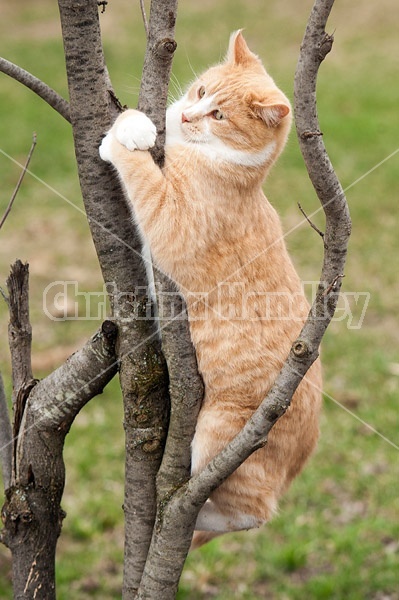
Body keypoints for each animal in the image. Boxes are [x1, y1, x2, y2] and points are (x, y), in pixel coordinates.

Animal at [100, 31, 322, 548]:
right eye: (201, 92)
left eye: (219, 116)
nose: (187, 116)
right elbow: (142, 120)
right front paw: (134, 124)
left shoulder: (170, 221)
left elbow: (141, 173)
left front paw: (121, 144)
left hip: (220, 436)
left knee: (247, 513)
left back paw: (180, 516)